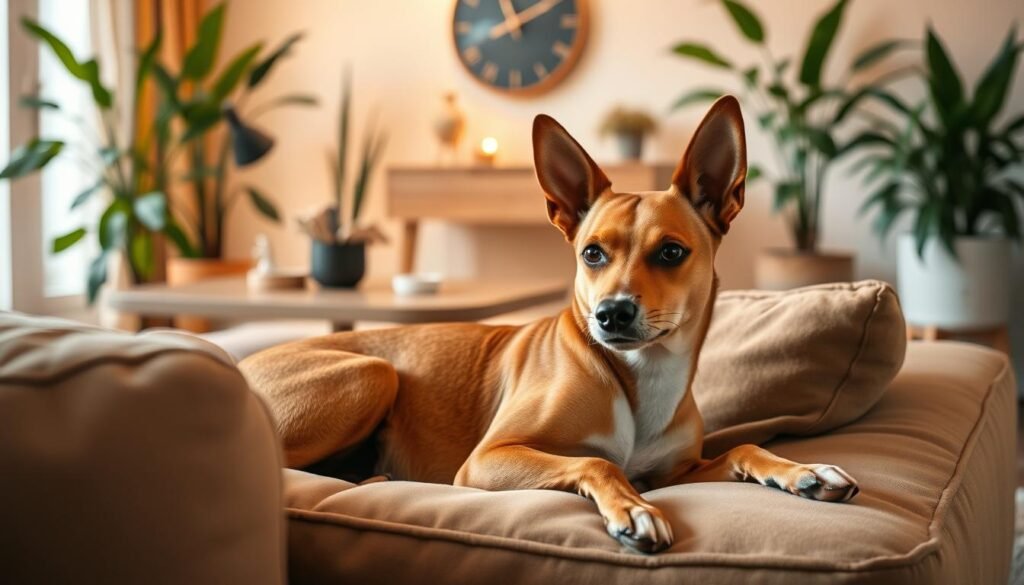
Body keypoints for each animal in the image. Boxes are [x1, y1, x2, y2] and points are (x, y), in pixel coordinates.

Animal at [239, 96, 856, 553]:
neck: (638, 377)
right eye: (592, 254)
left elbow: (743, 447)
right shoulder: (488, 460)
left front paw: (801, 470)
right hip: (373, 373)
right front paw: (633, 510)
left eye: (672, 252)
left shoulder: (674, 471)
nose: (611, 313)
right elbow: (596, 461)